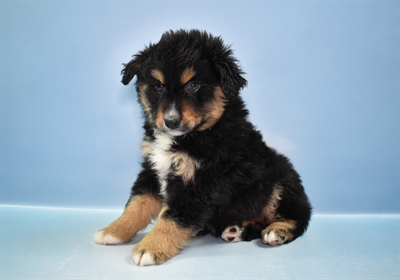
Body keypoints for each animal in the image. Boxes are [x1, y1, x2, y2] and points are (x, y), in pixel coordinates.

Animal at [94, 29, 312, 266]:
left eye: (193, 85)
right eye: (158, 87)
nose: (171, 121)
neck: (196, 135)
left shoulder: (202, 183)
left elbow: (172, 217)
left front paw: (150, 248)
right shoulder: (153, 169)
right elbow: (136, 204)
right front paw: (114, 230)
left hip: (281, 178)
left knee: (300, 216)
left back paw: (277, 231)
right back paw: (237, 230)